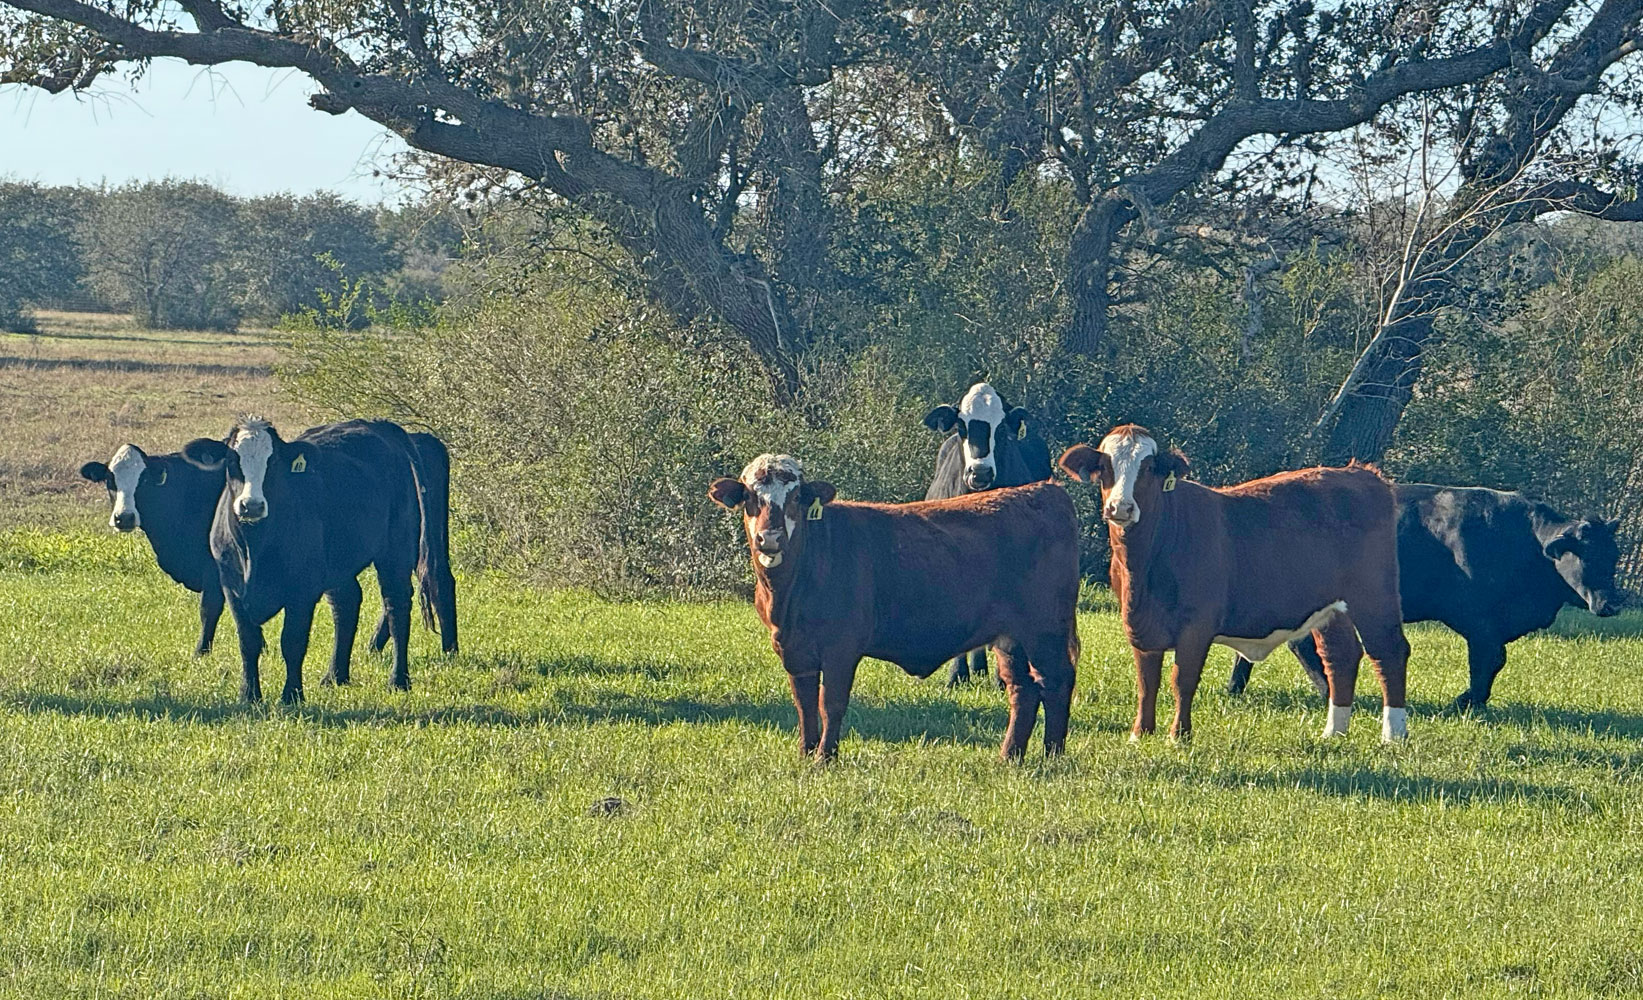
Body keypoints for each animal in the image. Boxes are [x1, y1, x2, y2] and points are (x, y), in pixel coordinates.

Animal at [182, 418, 455, 703]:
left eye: (273, 461)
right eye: (232, 461)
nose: (251, 505)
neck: (254, 549)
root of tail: (378, 424)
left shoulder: (302, 589)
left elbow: (292, 642)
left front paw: (291, 696)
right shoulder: (231, 586)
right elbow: (248, 641)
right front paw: (249, 696)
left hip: (395, 551)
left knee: (397, 605)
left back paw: (398, 680)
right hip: (339, 564)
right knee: (347, 603)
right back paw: (335, 676)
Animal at [709, 454, 1081, 762]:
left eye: (797, 497)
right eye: (750, 497)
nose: (770, 539)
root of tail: (1042, 490)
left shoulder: (841, 648)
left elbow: (830, 703)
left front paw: (825, 758)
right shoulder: (794, 649)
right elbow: (804, 703)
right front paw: (806, 752)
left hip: (1045, 629)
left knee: (1056, 680)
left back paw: (1052, 755)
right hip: (1010, 638)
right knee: (1023, 689)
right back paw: (1010, 756)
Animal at [1059, 425, 1411, 743]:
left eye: (1147, 467)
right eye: (1106, 467)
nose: (1120, 507)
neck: (1144, 564)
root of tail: (1361, 473)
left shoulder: (1196, 625)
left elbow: (1182, 678)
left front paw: (1178, 736)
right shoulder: (1139, 624)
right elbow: (1147, 681)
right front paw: (1140, 734)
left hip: (1373, 596)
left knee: (1389, 651)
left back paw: (1393, 734)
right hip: (1331, 607)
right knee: (1341, 656)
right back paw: (1333, 732)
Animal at [1226, 484, 1624, 710]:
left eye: (1614, 555)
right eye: (1585, 556)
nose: (1612, 603)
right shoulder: (1476, 617)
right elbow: (1489, 658)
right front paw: (1468, 703)